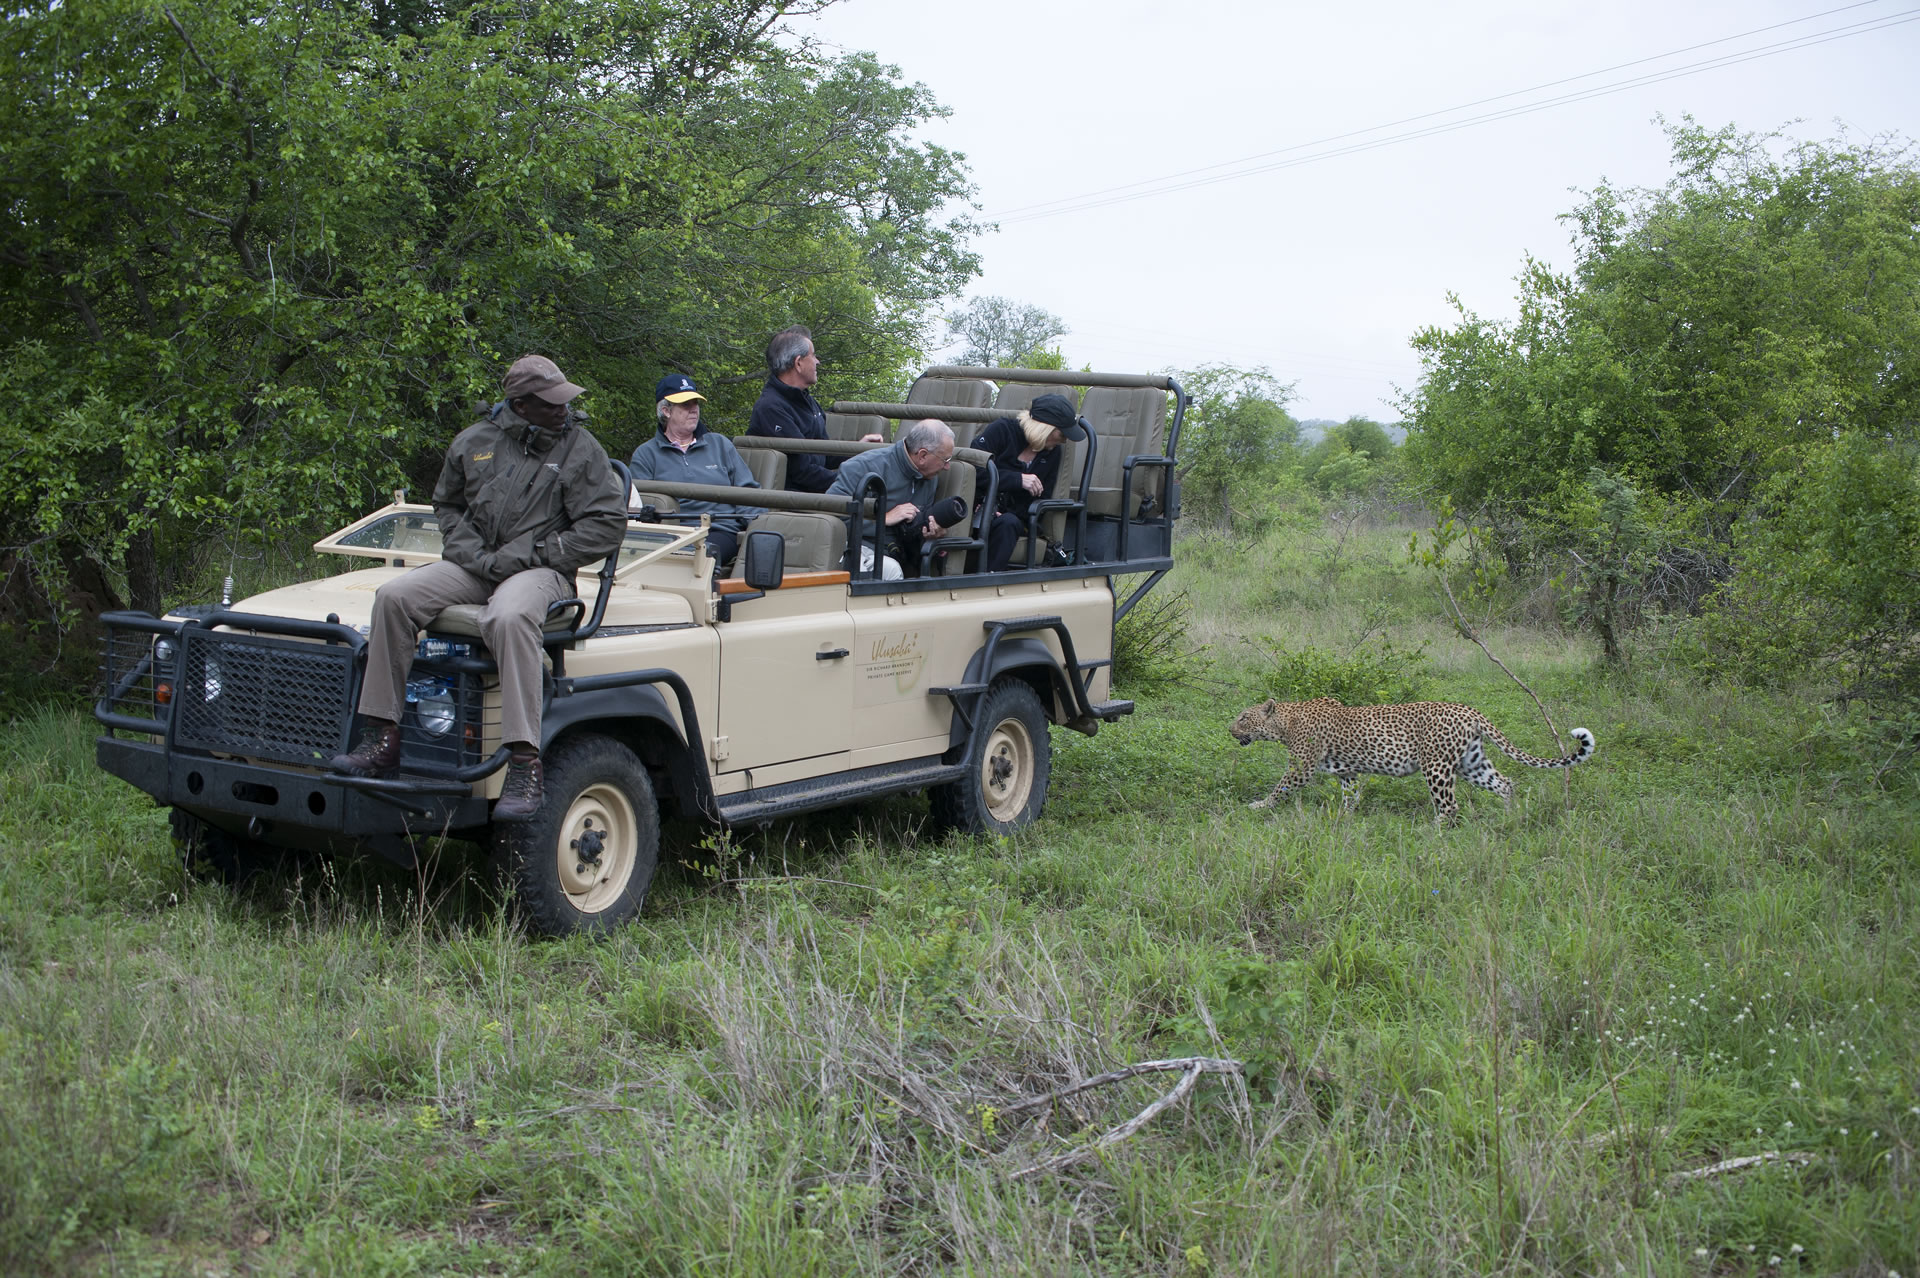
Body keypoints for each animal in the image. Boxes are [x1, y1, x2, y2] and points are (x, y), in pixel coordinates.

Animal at [1229, 696, 1595, 823]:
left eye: (1244, 717)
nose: (1228, 728)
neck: (1284, 722)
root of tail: (1470, 710)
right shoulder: (1348, 772)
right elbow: (1350, 797)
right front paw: (1344, 820)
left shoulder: (1302, 767)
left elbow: (1279, 789)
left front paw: (1259, 806)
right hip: (1472, 763)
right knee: (1505, 783)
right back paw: (1510, 819)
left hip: (1437, 766)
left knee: (1450, 805)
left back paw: (1433, 833)